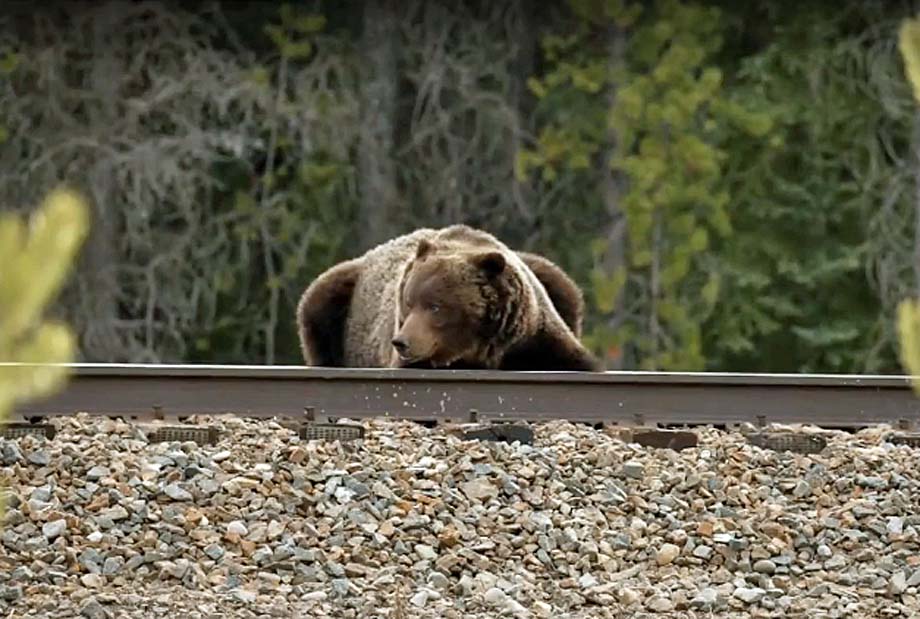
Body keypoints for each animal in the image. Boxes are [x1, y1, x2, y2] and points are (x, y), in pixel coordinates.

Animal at [292, 225, 596, 370]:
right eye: (408, 302)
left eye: (435, 306)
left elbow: (575, 363)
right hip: (341, 296)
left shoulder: (531, 333)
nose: (402, 342)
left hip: (547, 274)